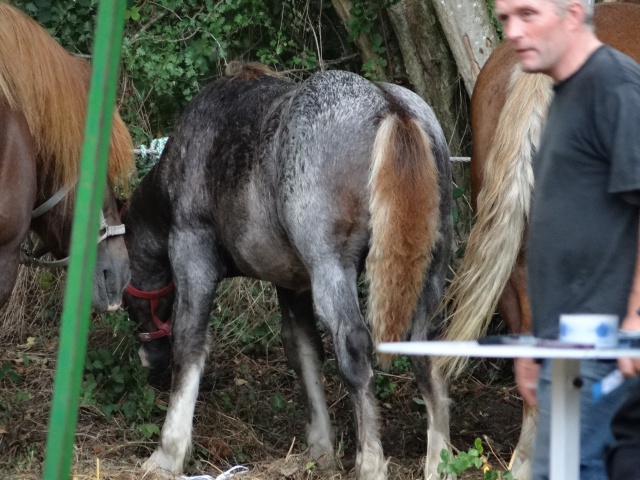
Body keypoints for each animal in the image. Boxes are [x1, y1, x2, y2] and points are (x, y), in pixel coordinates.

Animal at [120, 63, 450, 480]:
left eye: (126, 296)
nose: (151, 359)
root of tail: (388, 105)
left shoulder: (192, 252)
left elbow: (190, 343)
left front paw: (168, 453)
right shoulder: (293, 284)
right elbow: (303, 349)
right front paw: (321, 448)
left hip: (333, 270)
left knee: (354, 347)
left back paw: (371, 462)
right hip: (428, 276)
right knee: (427, 353)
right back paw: (441, 463)